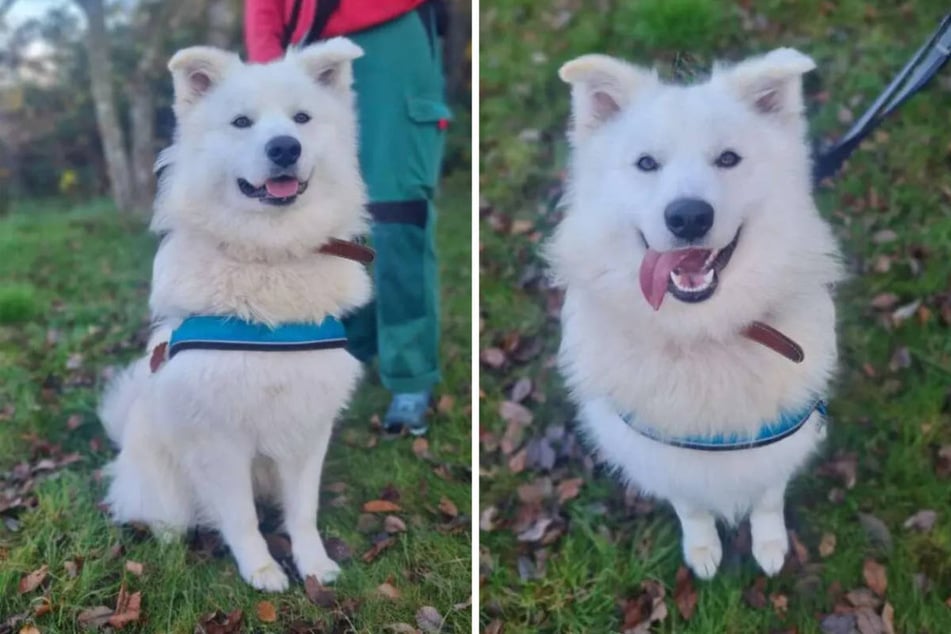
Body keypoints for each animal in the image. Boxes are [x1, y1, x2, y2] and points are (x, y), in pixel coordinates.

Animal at [99, 39, 372, 592]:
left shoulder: (307, 426)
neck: (270, 257)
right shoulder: (219, 437)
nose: (285, 148)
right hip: (162, 479)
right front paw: (262, 570)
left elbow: (303, 510)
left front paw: (314, 566)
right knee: (158, 513)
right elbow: (241, 517)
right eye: (242, 122)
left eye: (302, 118)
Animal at [556, 49, 844, 576]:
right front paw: (704, 550)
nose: (688, 216)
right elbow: (691, 508)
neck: (703, 334)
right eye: (646, 164)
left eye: (728, 159)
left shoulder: (780, 441)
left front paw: (769, 545)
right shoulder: (662, 454)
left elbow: (768, 499)